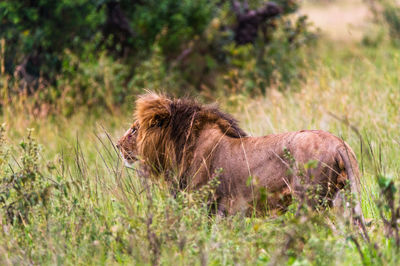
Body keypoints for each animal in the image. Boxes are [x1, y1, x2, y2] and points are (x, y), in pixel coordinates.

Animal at [117, 92, 364, 219]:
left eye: (134, 129)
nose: (117, 145)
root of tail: (339, 144)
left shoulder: (205, 205)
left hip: (309, 200)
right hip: (340, 198)